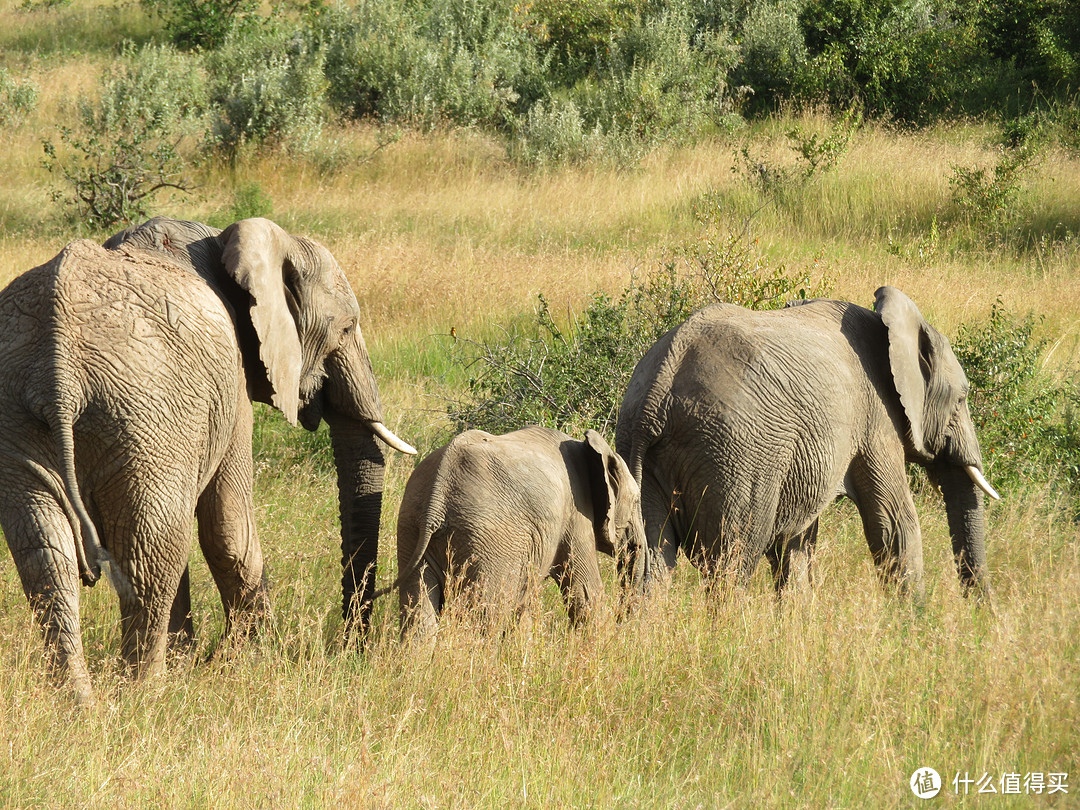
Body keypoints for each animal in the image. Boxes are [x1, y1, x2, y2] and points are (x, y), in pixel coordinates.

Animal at [0, 217, 412, 704]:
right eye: (347, 329)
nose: (353, 650)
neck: (225, 243)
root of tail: (58, 371)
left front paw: (197, 661)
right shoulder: (232, 386)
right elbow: (227, 528)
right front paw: (250, 663)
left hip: (21, 412)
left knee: (46, 550)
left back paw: (80, 704)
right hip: (144, 411)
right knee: (152, 545)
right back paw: (146, 694)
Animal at [384, 425, 643, 639]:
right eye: (637, 501)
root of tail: (438, 495)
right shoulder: (576, 514)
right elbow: (586, 592)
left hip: (411, 527)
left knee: (419, 615)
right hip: (488, 541)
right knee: (485, 617)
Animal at [617, 289, 1002, 604]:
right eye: (961, 399)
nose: (980, 614)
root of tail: (658, 387)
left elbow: (797, 540)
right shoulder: (875, 418)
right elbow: (895, 523)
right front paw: (914, 626)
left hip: (639, 450)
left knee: (651, 565)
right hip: (736, 457)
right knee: (732, 561)